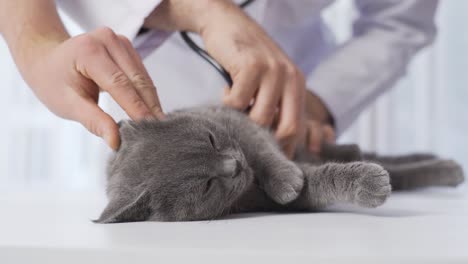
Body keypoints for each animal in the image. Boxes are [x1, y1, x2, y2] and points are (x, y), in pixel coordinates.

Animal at [95, 105, 464, 223]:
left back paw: (445, 165)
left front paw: (285, 177)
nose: (235, 166)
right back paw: (446, 168)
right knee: (393, 171)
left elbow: (264, 151)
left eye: (211, 139)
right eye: (207, 185)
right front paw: (368, 184)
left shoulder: (239, 122)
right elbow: (317, 182)